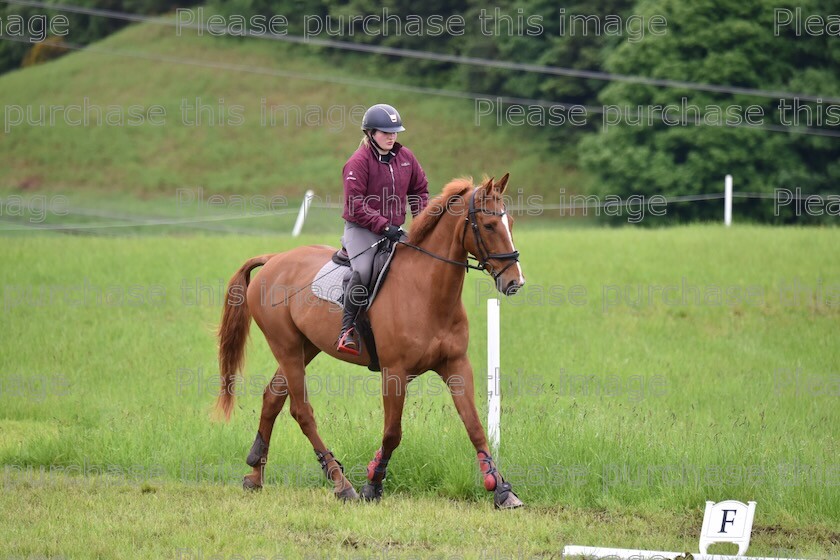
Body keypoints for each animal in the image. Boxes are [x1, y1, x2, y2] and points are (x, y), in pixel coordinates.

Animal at [220, 174, 528, 508]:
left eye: (510, 222)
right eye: (489, 225)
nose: (515, 282)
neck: (428, 292)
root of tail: (274, 259)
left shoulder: (455, 365)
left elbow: (474, 426)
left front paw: (502, 490)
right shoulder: (394, 372)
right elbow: (392, 432)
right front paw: (372, 484)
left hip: (305, 347)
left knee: (272, 398)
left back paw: (255, 474)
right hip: (286, 347)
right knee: (301, 411)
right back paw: (341, 484)